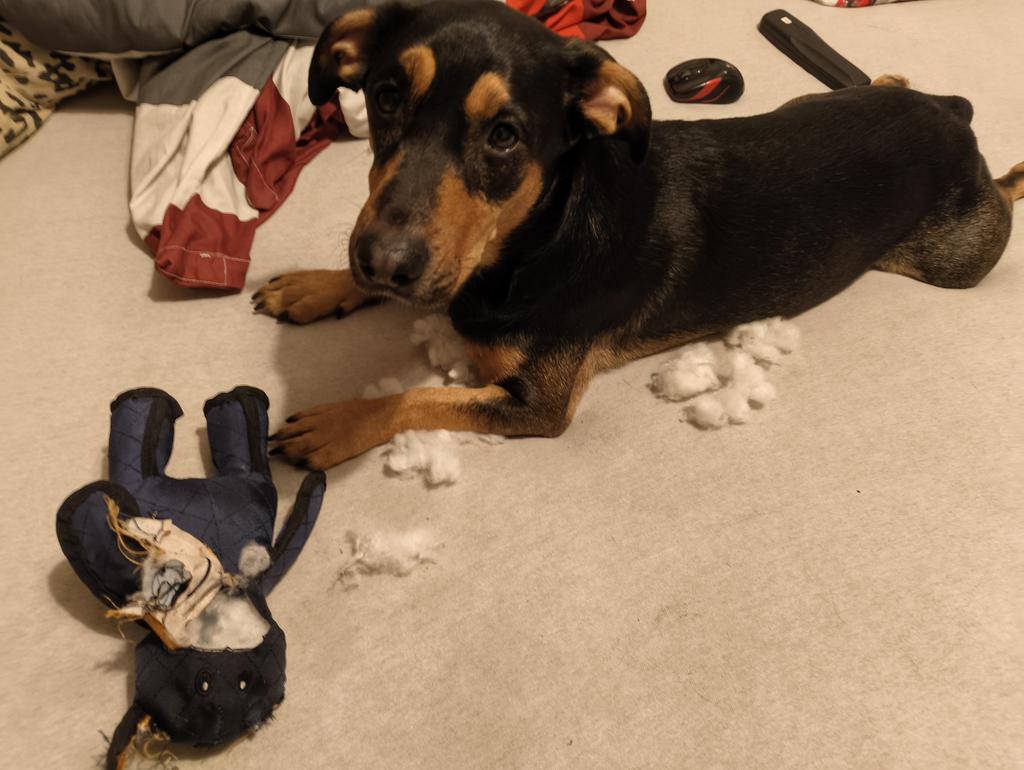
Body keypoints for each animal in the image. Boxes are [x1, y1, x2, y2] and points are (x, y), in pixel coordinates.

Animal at [252, 0, 1023, 470]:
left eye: (504, 137)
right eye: (384, 98)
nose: (382, 263)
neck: (536, 236)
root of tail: (952, 121)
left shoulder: (539, 403)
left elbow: (415, 398)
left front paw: (335, 424)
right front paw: (316, 286)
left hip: (958, 256)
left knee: (1002, 198)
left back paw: (1015, 172)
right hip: (818, 99)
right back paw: (895, 75)